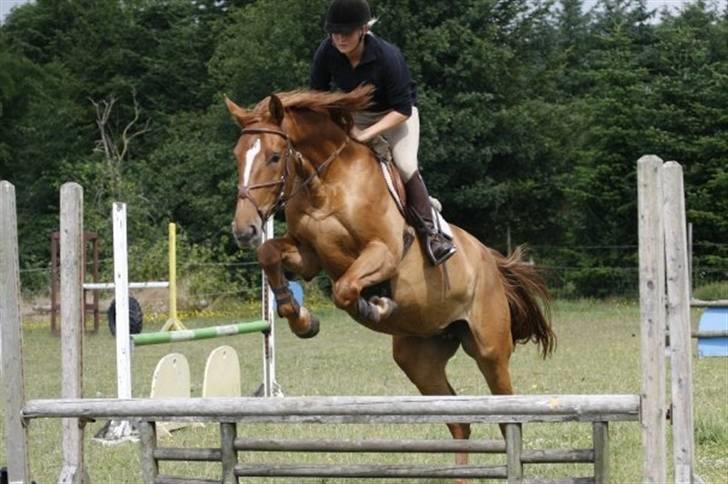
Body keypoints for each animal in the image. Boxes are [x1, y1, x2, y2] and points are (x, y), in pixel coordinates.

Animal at [225, 86, 556, 454]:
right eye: (237, 156)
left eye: (273, 157)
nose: (244, 230)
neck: (326, 186)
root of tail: (490, 260)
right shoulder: (308, 255)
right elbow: (269, 254)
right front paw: (301, 319)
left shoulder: (384, 252)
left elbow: (344, 290)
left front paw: (376, 306)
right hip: (419, 357)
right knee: (460, 424)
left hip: (491, 350)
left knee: (505, 414)